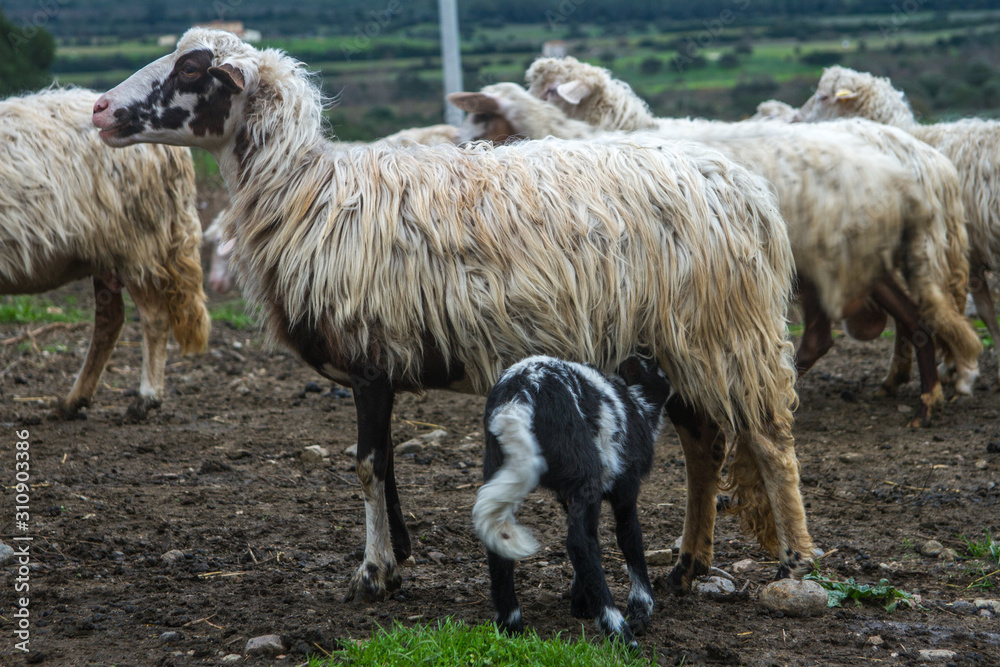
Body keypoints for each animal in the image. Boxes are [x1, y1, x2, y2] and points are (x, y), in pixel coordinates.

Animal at [1, 87, 210, 421]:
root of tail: (174, 152)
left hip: (134, 241)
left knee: (154, 318)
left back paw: (145, 398)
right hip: (104, 253)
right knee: (110, 320)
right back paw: (73, 401)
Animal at [94, 28, 816, 603]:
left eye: (193, 68)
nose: (99, 109)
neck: (307, 193)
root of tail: (743, 186)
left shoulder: (369, 359)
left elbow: (366, 465)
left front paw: (372, 574)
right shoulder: (381, 365)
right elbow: (385, 463)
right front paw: (397, 558)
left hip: (726, 328)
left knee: (770, 438)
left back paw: (796, 558)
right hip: (677, 339)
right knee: (707, 444)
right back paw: (689, 565)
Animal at [476, 355, 670, 645]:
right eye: (658, 371)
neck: (637, 404)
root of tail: (519, 398)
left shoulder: (568, 495)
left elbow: (594, 535)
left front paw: (580, 603)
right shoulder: (626, 485)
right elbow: (630, 539)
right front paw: (640, 608)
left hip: (499, 466)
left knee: (500, 540)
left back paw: (511, 627)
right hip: (583, 469)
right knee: (579, 544)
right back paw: (620, 633)